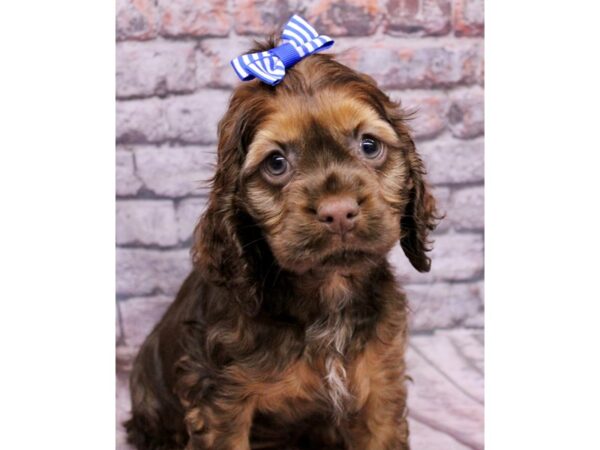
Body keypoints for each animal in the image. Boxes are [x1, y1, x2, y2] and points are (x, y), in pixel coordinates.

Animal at [123, 37, 440, 450]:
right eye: (276, 163)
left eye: (369, 145)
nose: (338, 212)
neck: (328, 292)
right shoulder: (221, 397)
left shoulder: (380, 383)